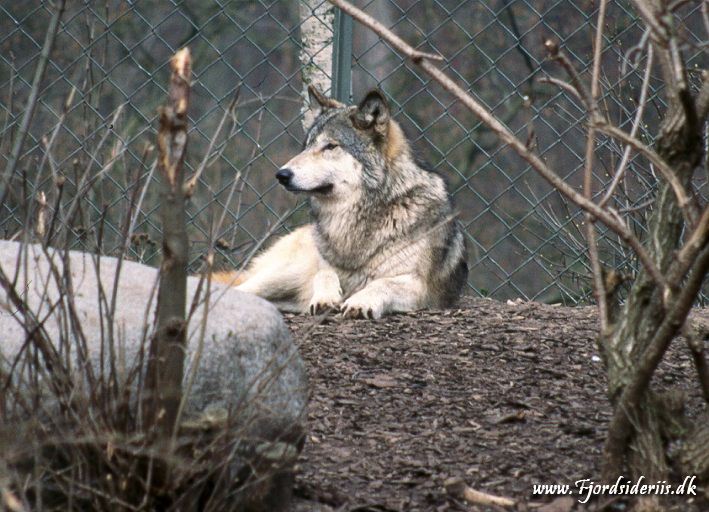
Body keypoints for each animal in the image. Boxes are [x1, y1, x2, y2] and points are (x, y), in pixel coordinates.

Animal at [216, 86, 470, 318]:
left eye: (330, 146)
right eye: (307, 146)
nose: (282, 175)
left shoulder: (418, 286)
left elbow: (382, 283)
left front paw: (359, 302)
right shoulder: (323, 267)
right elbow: (324, 274)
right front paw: (326, 298)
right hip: (281, 275)